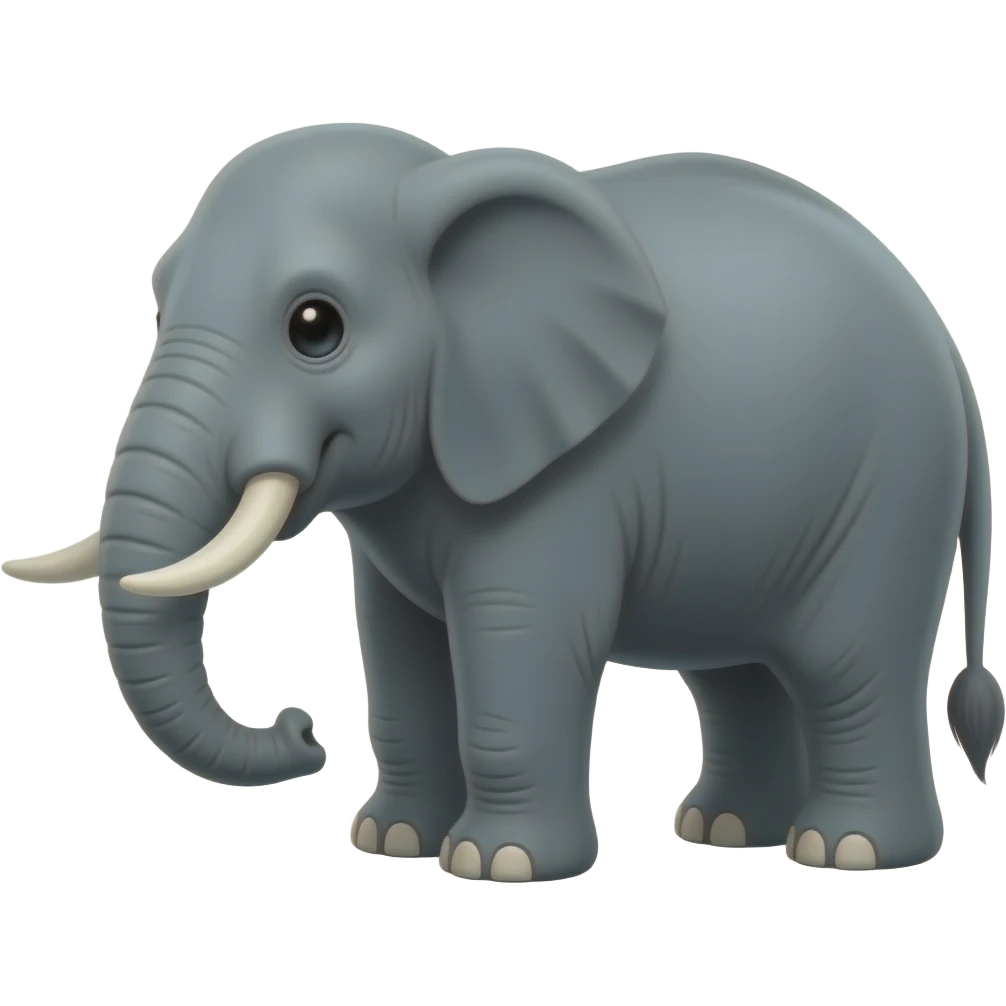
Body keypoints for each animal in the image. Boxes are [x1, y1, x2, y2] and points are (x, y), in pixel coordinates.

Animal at [3, 124, 1001, 882]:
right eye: (157, 305)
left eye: (315, 326)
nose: (300, 727)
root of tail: (948, 347)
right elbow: (398, 647)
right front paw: (391, 841)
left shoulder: (561, 484)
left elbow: (517, 635)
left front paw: (497, 865)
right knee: (738, 668)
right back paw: (723, 832)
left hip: (890, 489)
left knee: (846, 661)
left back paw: (847, 848)